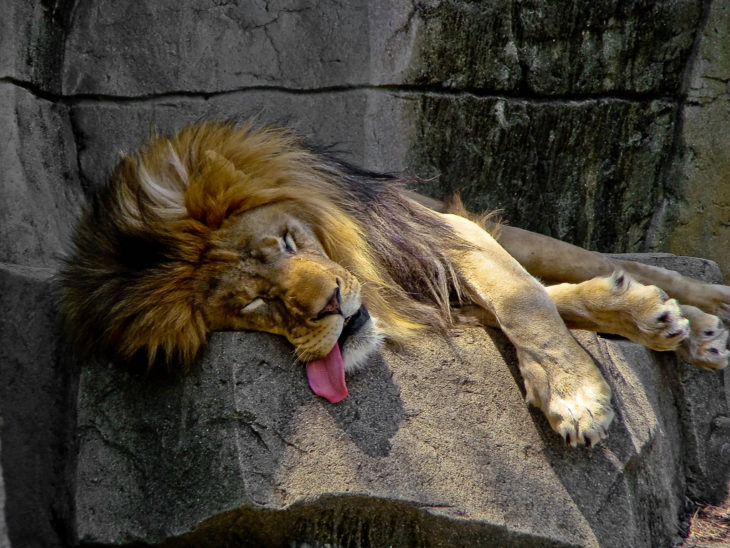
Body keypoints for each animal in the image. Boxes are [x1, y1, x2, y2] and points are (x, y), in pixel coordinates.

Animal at [59, 120, 728, 446]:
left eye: (286, 242)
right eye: (253, 302)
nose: (330, 304)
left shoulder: (444, 231)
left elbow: (526, 301)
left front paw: (574, 396)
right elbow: (538, 302)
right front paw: (638, 319)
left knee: (601, 261)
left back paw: (700, 311)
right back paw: (668, 320)